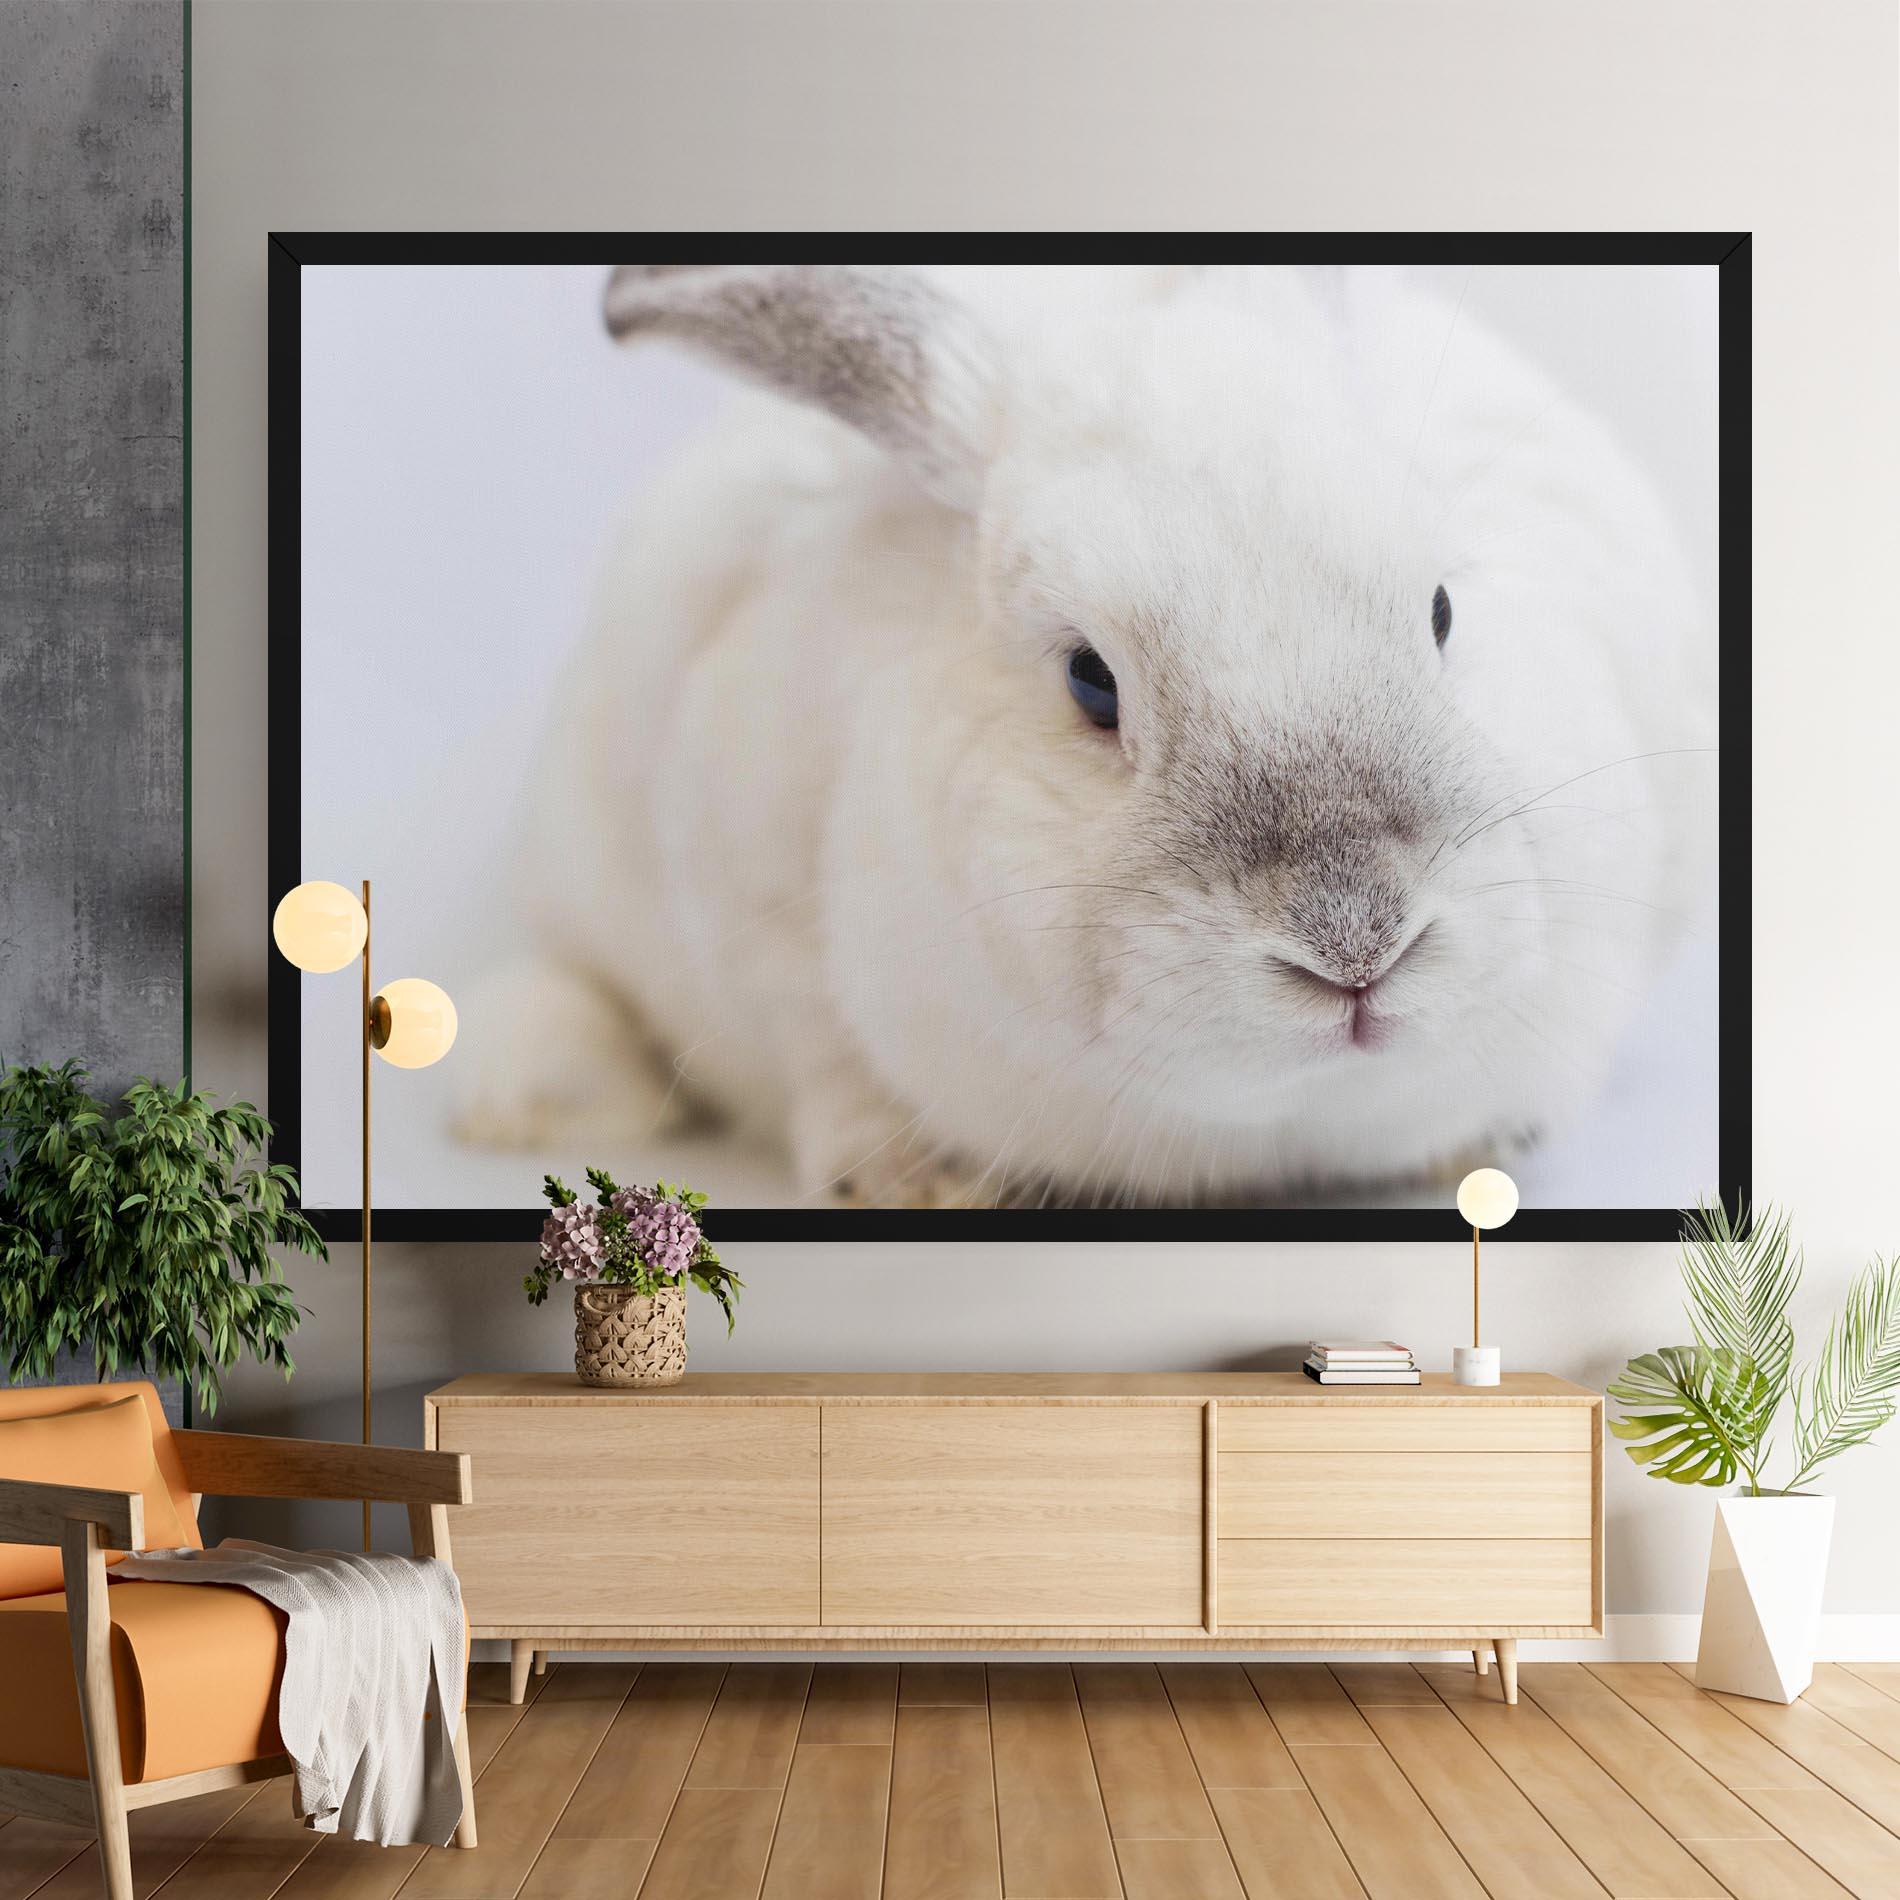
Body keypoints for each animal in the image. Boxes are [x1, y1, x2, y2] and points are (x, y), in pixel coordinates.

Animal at [454, 263, 1715, 1208]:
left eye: (1444, 609)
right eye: (1089, 681)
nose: (1355, 943)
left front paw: (1479, 1146)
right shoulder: (751, 908)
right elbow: (824, 1060)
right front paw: (917, 1179)